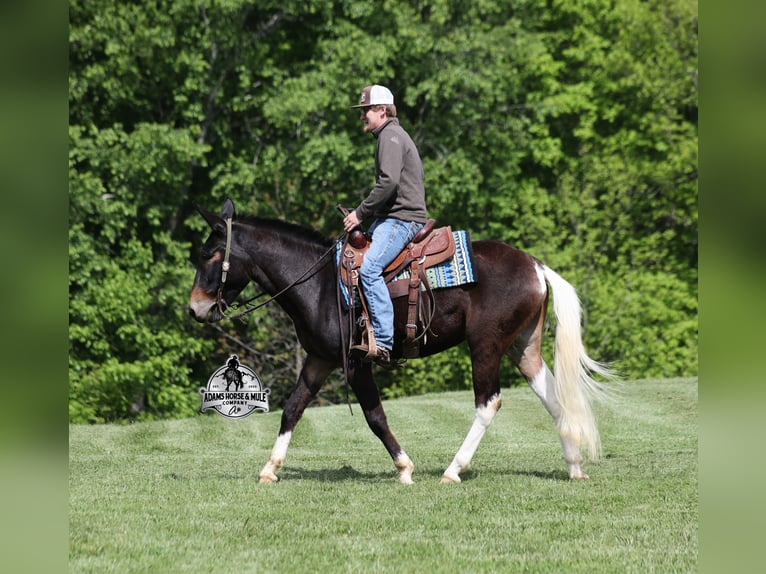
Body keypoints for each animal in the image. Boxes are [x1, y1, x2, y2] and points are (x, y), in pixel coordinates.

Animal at [189, 198, 612, 484]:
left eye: (210, 254)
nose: (195, 308)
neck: (319, 283)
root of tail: (536, 266)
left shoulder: (357, 363)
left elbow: (375, 417)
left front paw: (404, 467)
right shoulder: (318, 360)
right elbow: (293, 409)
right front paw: (270, 468)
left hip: (486, 346)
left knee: (488, 403)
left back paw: (453, 470)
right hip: (522, 347)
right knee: (553, 399)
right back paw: (574, 467)